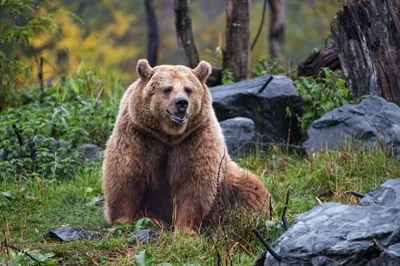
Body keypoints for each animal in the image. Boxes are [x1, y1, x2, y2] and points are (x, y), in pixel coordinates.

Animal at [103, 59, 272, 234]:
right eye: (167, 88)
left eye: (188, 89)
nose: (182, 102)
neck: (169, 135)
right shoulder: (139, 135)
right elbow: (126, 175)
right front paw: (123, 221)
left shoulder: (195, 139)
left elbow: (194, 184)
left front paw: (186, 229)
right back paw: (153, 220)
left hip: (228, 181)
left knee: (250, 191)